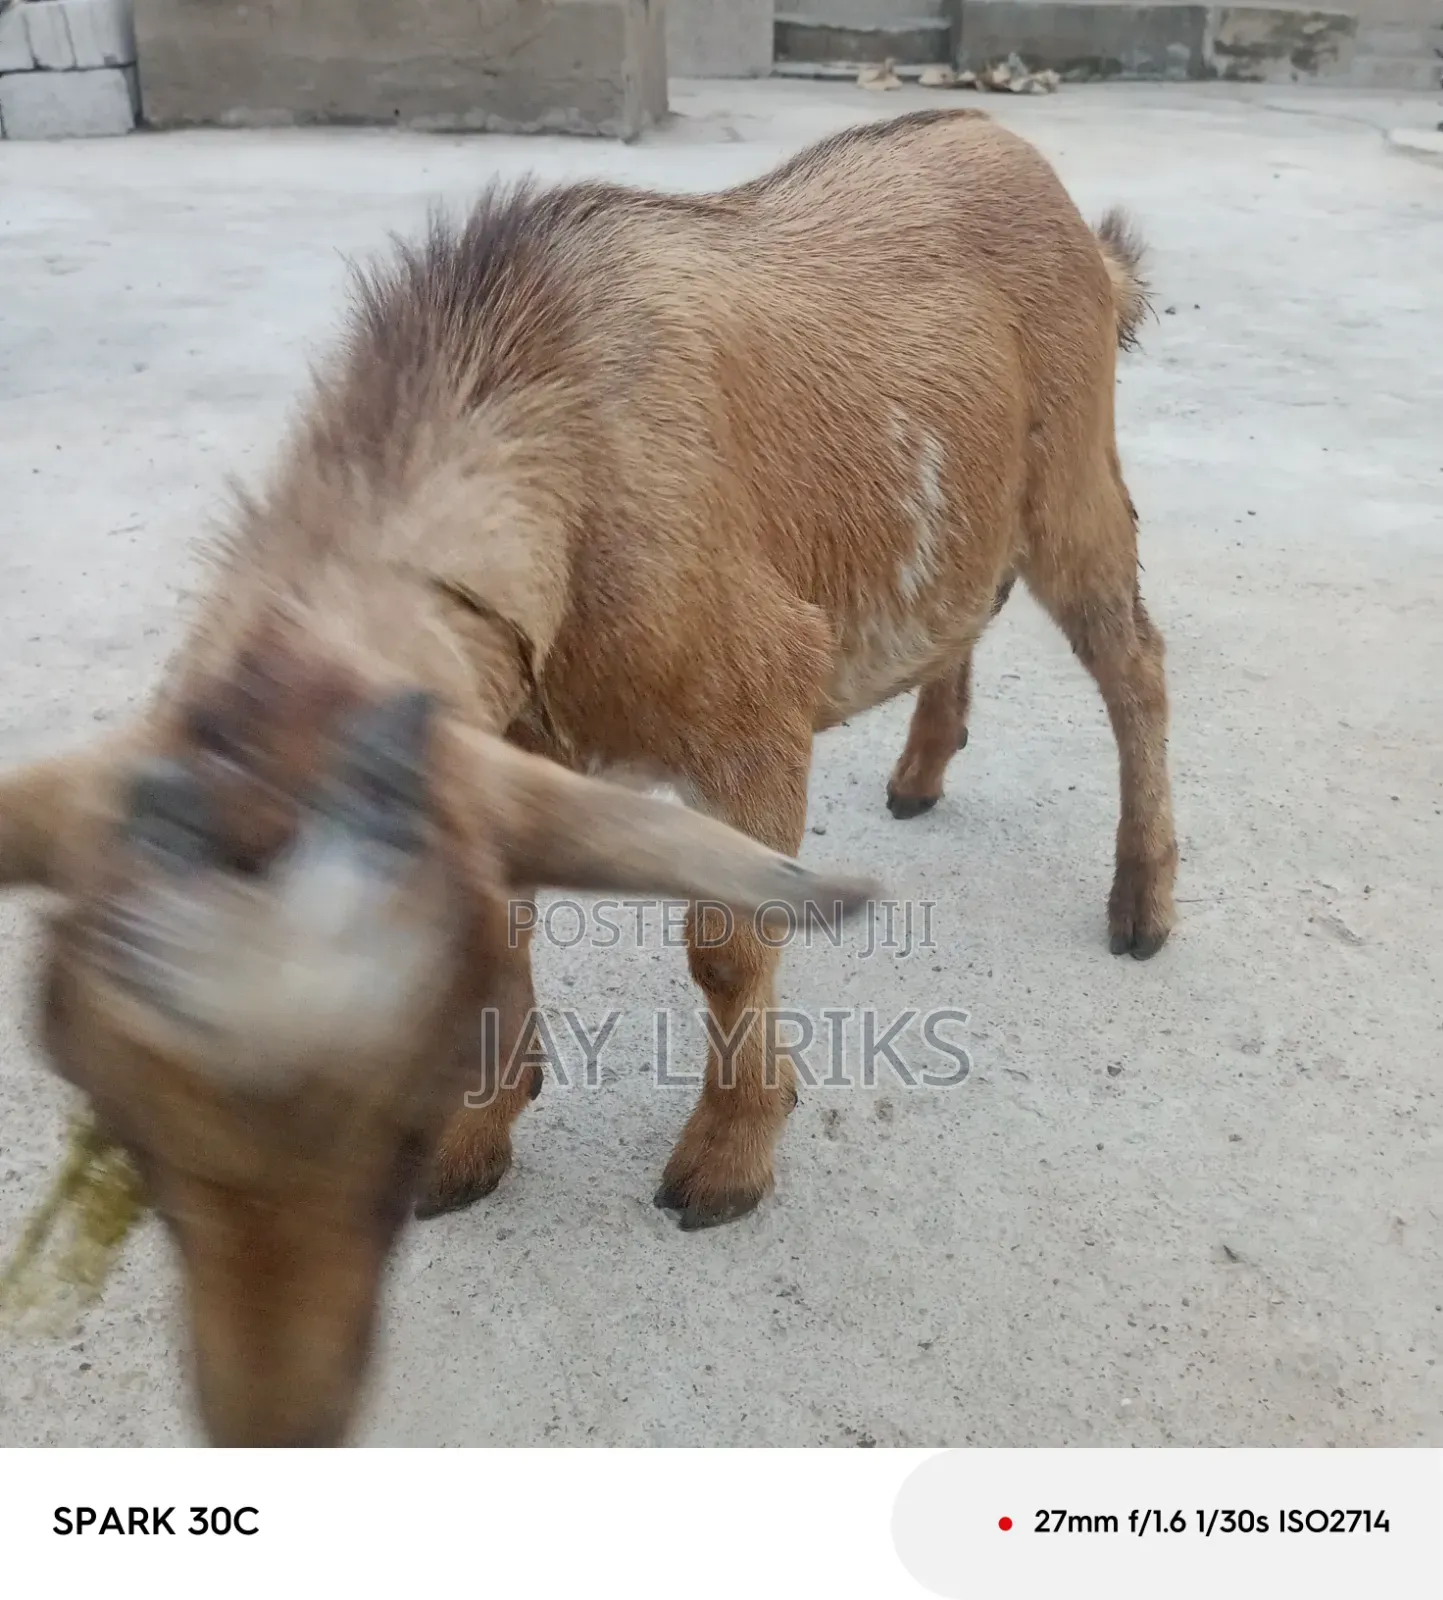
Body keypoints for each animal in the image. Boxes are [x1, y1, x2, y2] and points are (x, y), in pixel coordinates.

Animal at [0, 108, 1175, 1445]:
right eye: (119, 1121)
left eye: (393, 1120)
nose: (276, 1413)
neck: (558, 429)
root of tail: (1035, 172)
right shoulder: (511, 753)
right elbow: (516, 926)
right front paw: (487, 1136)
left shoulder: (756, 704)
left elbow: (730, 946)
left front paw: (726, 1160)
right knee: (966, 608)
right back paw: (922, 772)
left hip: (1072, 474)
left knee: (1135, 663)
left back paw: (1142, 901)